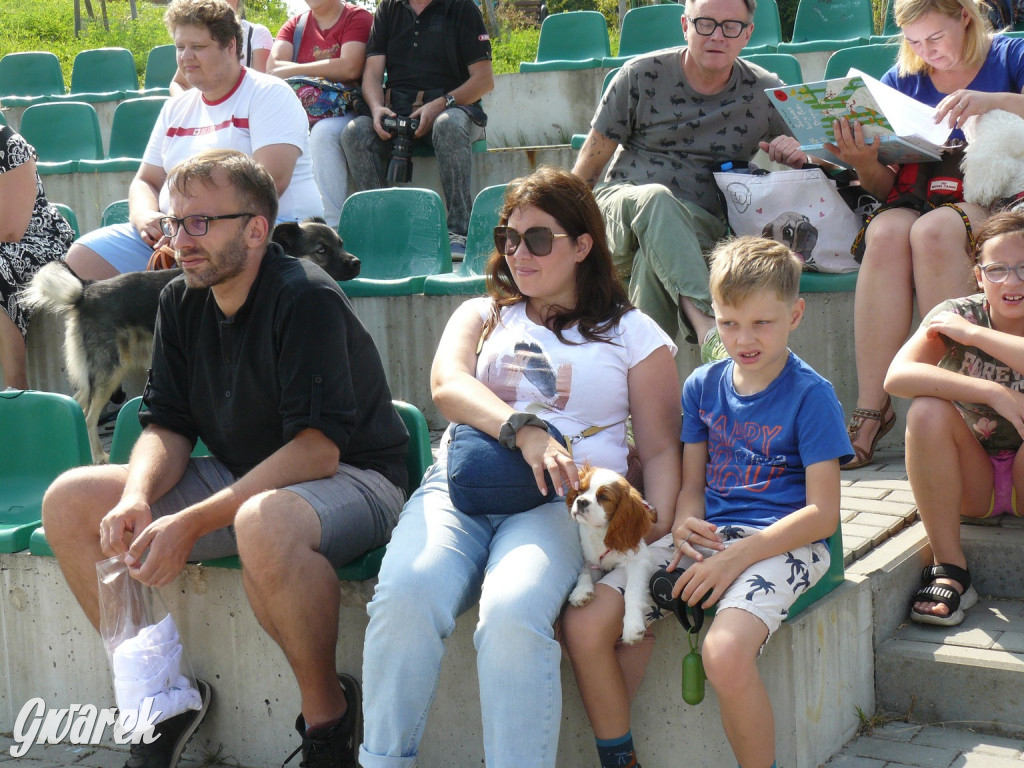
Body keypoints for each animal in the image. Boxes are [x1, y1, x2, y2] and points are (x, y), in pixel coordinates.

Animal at [23, 215, 360, 462]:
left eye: (341, 243)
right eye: (321, 250)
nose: (356, 262)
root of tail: (86, 290)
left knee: (79, 404)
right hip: (109, 371)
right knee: (89, 415)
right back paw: (98, 457)